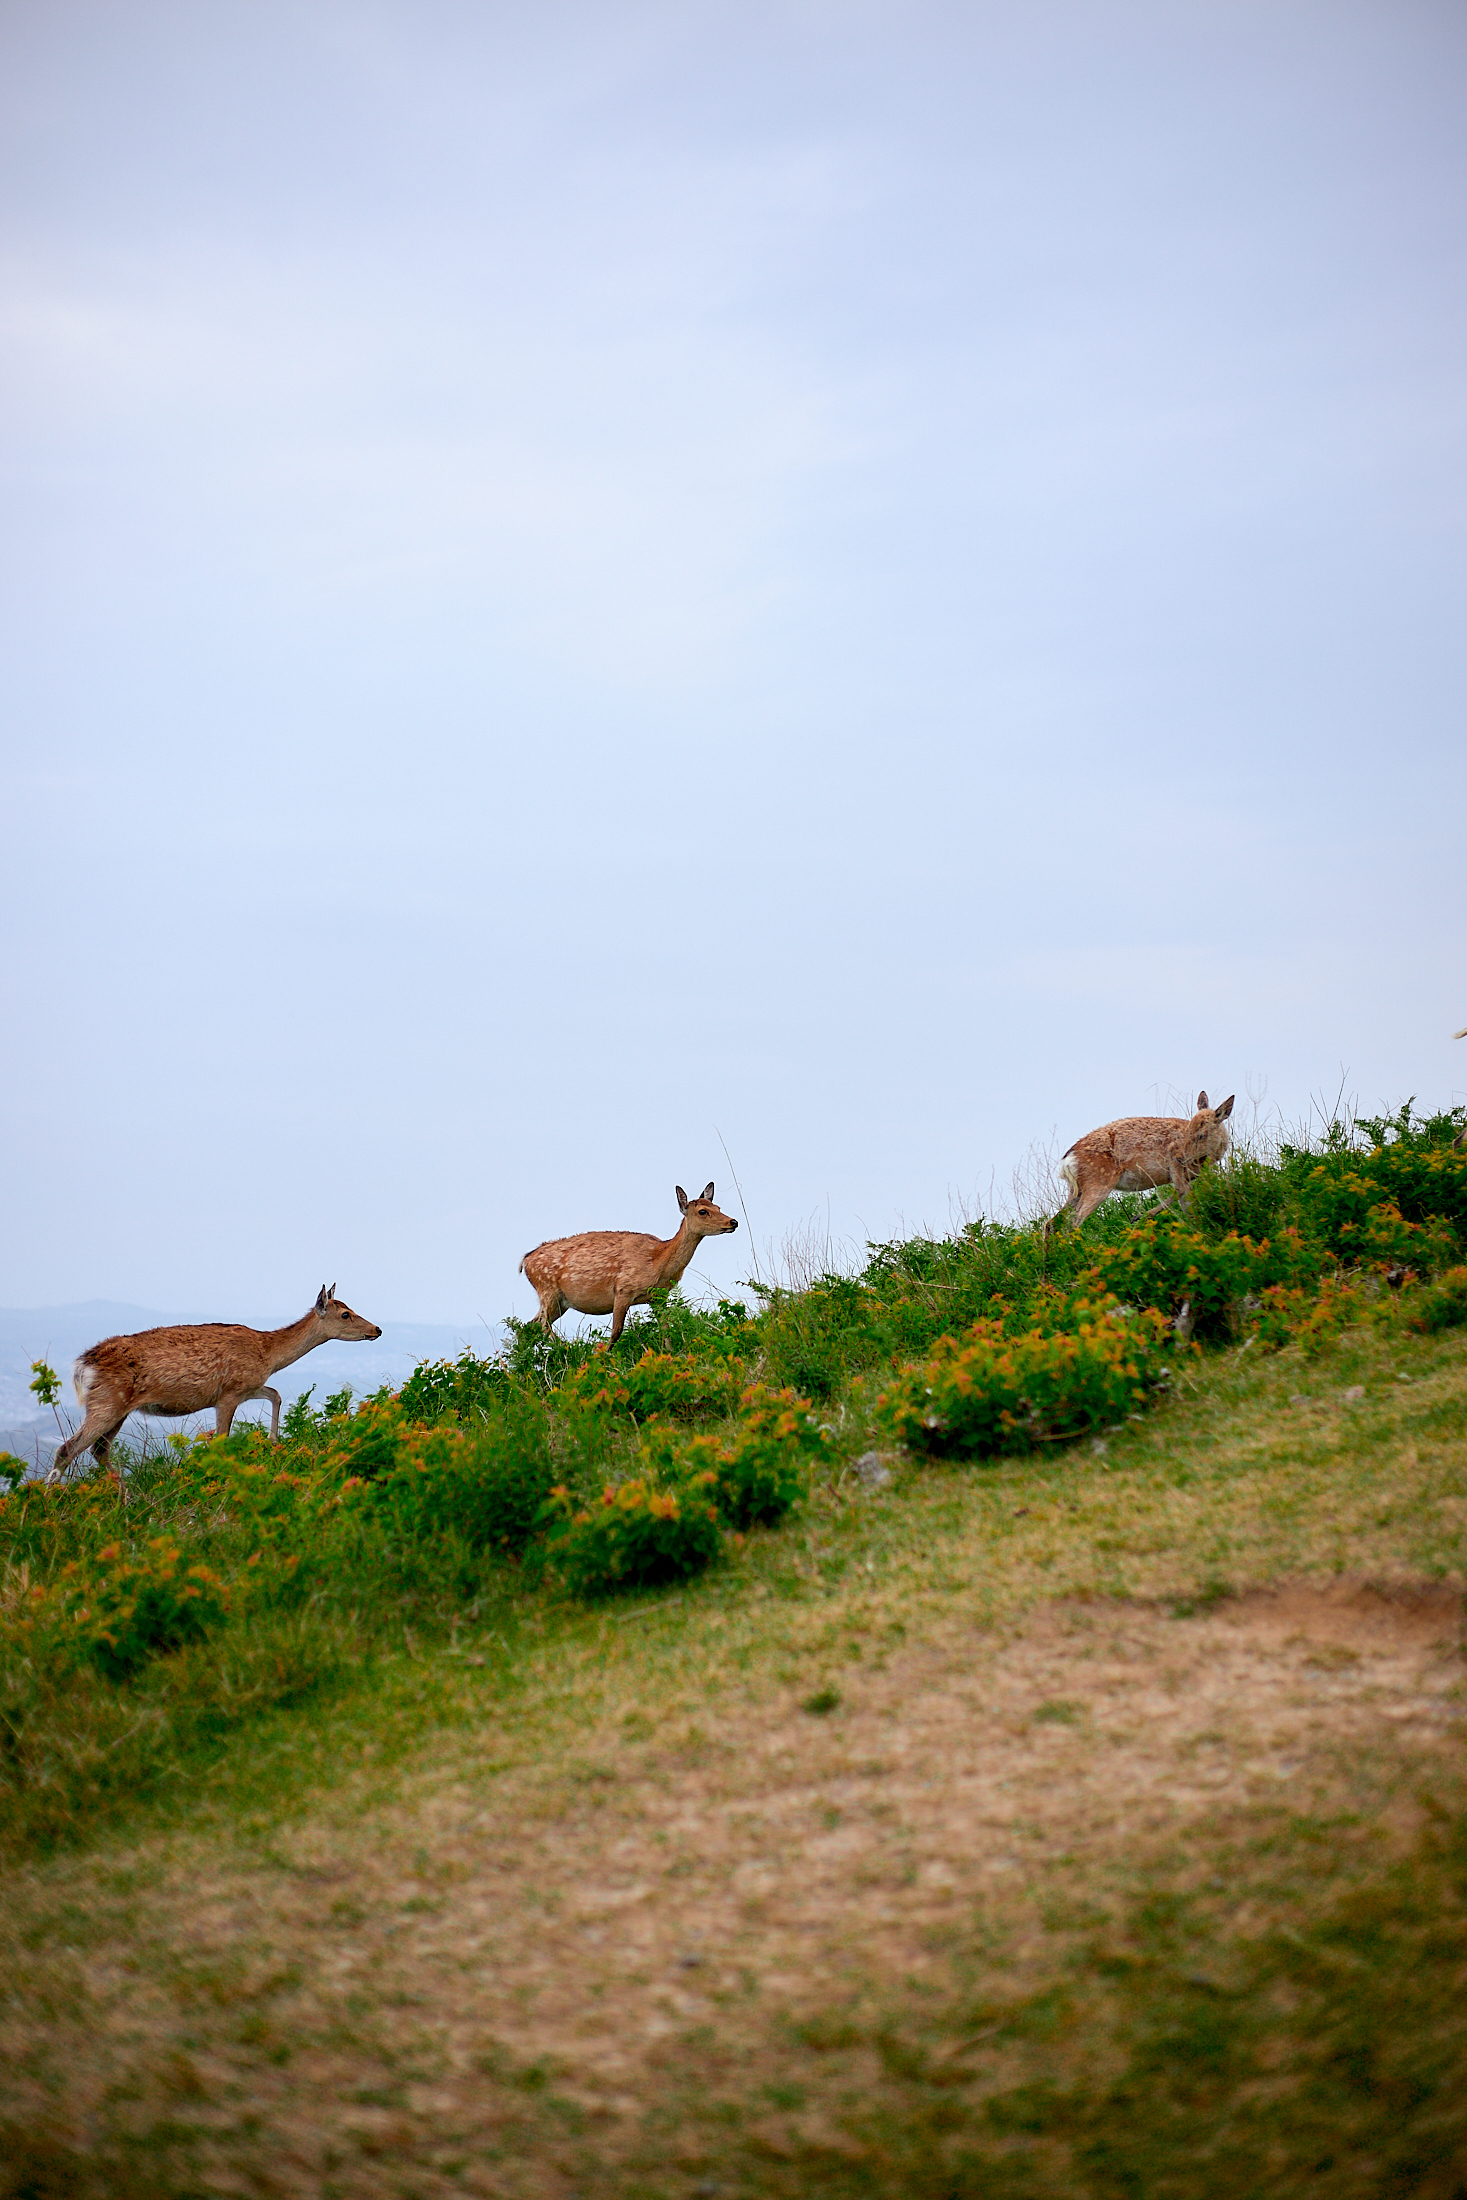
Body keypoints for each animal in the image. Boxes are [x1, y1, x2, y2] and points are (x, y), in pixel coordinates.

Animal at [48, 1284, 384, 1478]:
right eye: (345, 1314)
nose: (377, 1329)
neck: (267, 1354)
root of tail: (84, 1363)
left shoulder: (248, 1387)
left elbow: (275, 1394)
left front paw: (274, 1440)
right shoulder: (228, 1394)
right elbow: (221, 1439)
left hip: (117, 1409)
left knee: (99, 1451)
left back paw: (124, 1496)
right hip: (107, 1402)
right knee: (67, 1449)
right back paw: (53, 1500)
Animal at [521, 1188, 738, 1337]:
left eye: (718, 1207)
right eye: (702, 1211)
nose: (733, 1222)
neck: (658, 1263)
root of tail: (525, 1261)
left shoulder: (658, 1297)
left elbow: (665, 1330)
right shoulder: (623, 1290)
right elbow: (616, 1332)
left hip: (561, 1302)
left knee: (528, 1326)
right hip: (548, 1290)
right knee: (542, 1326)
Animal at [1051, 1091, 1231, 1232]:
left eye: (1201, 1135)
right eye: (1189, 1132)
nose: (1182, 1156)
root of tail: (1067, 1160)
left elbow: (1185, 1201)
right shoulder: (1173, 1158)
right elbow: (1180, 1191)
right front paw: (1142, 1216)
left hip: (1077, 1189)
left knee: (1052, 1223)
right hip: (1098, 1183)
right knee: (1073, 1222)